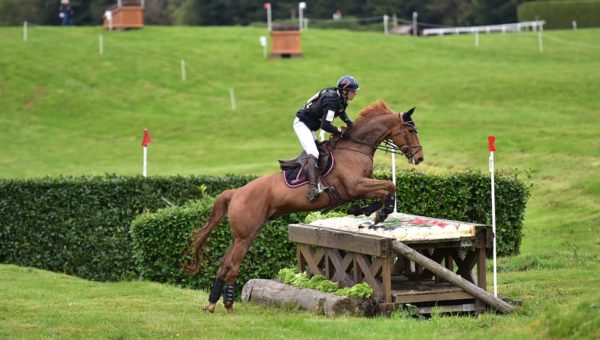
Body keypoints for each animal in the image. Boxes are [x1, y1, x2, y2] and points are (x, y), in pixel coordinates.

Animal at [183, 101, 422, 314]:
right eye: (410, 131)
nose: (419, 157)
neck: (355, 147)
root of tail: (236, 192)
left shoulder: (360, 187)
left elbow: (386, 189)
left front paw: (363, 211)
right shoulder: (355, 186)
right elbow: (389, 186)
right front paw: (379, 213)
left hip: (239, 235)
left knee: (224, 264)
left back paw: (211, 304)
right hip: (246, 235)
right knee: (232, 265)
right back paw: (229, 306)